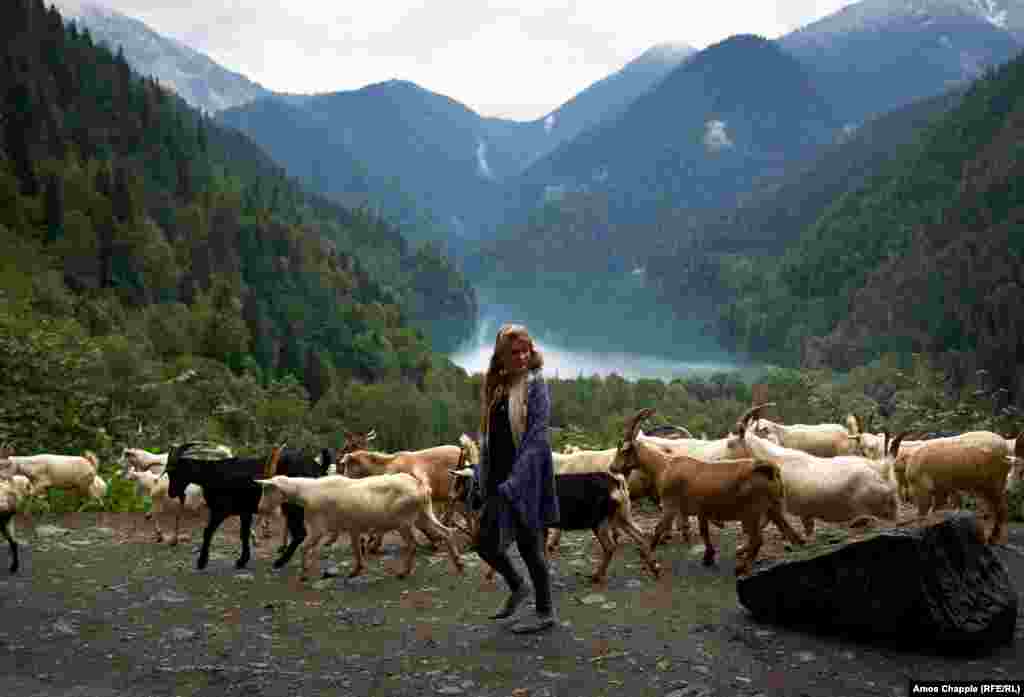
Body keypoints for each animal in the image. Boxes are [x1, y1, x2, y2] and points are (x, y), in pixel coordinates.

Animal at [166, 442, 319, 569]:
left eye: (174, 471)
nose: (171, 493)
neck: (213, 475)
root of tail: (314, 466)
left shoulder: (222, 510)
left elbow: (208, 531)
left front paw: (202, 562)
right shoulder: (244, 511)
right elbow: (244, 534)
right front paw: (242, 560)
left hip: (293, 507)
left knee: (300, 533)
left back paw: (280, 562)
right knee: (301, 533)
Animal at [256, 470, 464, 577]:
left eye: (267, 489)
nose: (259, 508)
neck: (306, 492)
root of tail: (420, 486)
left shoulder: (318, 528)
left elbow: (305, 547)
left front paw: (304, 572)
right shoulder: (352, 527)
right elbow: (356, 548)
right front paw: (357, 570)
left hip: (404, 521)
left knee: (413, 544)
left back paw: (404, 572)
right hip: (424, 514)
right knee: (446, 532)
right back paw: (459, 563)